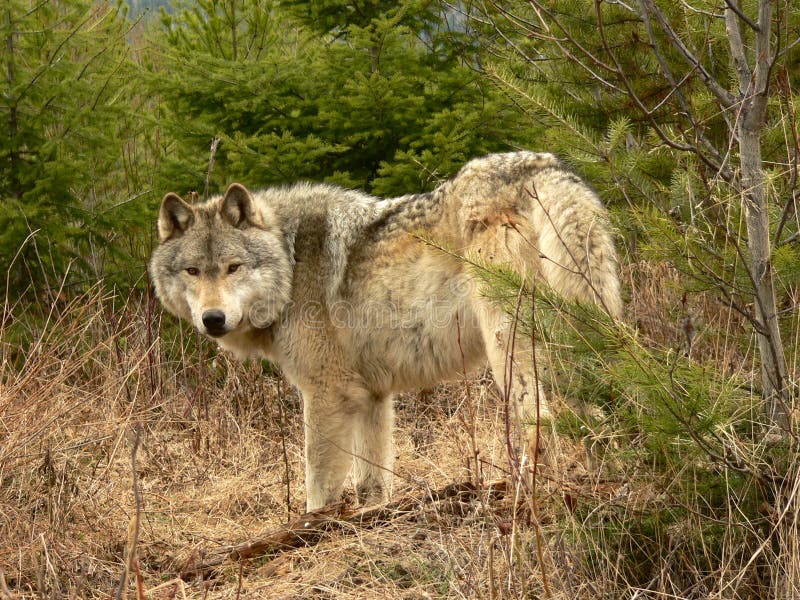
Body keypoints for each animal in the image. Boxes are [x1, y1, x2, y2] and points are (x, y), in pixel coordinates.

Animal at [152, 152, 624, 508]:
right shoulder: (372, 397)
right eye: (193, 271)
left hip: (508, 351)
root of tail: (542, 165)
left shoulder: (328, 394)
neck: (291, 260)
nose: (213, 319)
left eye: (234, 267)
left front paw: (312, 531)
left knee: (542, 421)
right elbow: (373, 482)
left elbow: (318, 487)